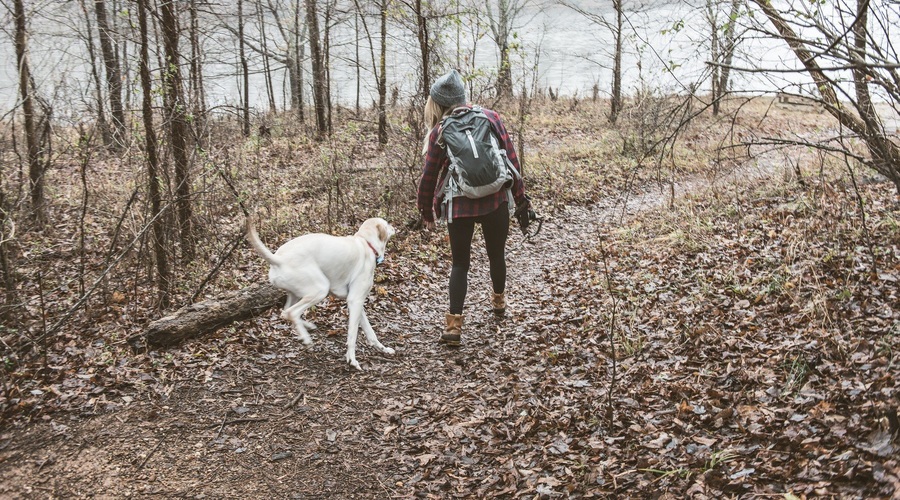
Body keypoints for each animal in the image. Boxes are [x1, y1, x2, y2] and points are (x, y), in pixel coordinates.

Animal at [248, 217, 400, 370]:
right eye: (387, 224)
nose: (395, 227)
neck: (366, 242)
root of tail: (279, 260)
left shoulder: (357, 305)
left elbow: (370, 332)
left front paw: (383, 349)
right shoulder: (355, 301)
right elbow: (352, 335)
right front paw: (352, 359)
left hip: (296, 294)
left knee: (285, 312)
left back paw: (306, 328)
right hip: (320, 290)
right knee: (292, 312)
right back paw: (306, 338)